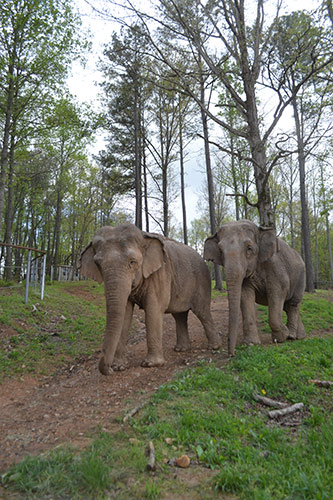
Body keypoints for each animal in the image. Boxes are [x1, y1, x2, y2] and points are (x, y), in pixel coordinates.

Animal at [79, 224, 222, 376]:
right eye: (98, 264)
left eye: (132, 262)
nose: (109, 369)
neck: (143, 235)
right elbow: (125, 313)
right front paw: (119, 367)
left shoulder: (160, 273)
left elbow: (153, 309)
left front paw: (150, 364)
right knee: (179, 315)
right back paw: (181, 349)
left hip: (202, 281)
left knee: (202, 312)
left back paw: (214, 347)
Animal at [201, 221, 304, 358]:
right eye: (220, 251)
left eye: (249, 248)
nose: (231, 355)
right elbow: (245, 296)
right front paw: (251, 343)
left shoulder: (276, 266)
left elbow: (277, 293)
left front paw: (281, 338)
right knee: (288, 307)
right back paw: (300, 336)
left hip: (301, 278)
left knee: (293, 305)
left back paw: (292, 336)